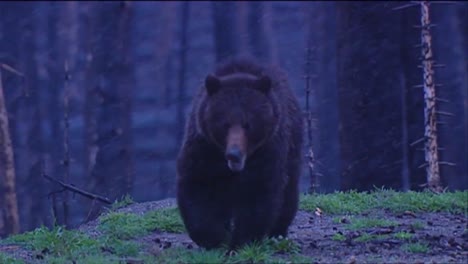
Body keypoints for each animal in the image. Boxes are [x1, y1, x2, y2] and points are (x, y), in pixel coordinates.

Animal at [176, 56, 304, 249]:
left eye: (248, 124)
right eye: (225, 124)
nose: (233, 154)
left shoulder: (268, 151)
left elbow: (258, 193)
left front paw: (240, 242)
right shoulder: (203, 148)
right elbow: (196, 187)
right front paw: (217, 238)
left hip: (293, 148)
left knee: (288, 193)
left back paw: (278, 232)